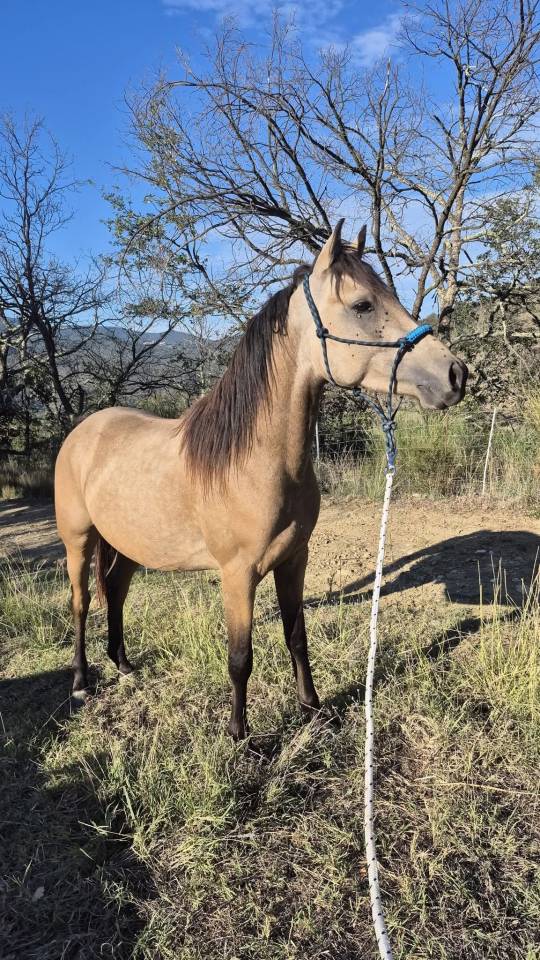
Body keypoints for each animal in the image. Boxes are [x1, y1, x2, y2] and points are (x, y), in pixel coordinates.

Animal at [55, 221, 467, 739]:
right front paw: (241, 735)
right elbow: (240, 657)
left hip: (128, 543)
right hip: (79, 540)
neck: (256, 463)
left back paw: (124, 665)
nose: (455, 374)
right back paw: (80, 682)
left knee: (117, 591)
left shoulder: (294, 560)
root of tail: (83, 432)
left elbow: (297, 637)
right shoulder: (238, 575)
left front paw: (314, 709)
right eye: (363, 305)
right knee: (82, 601)